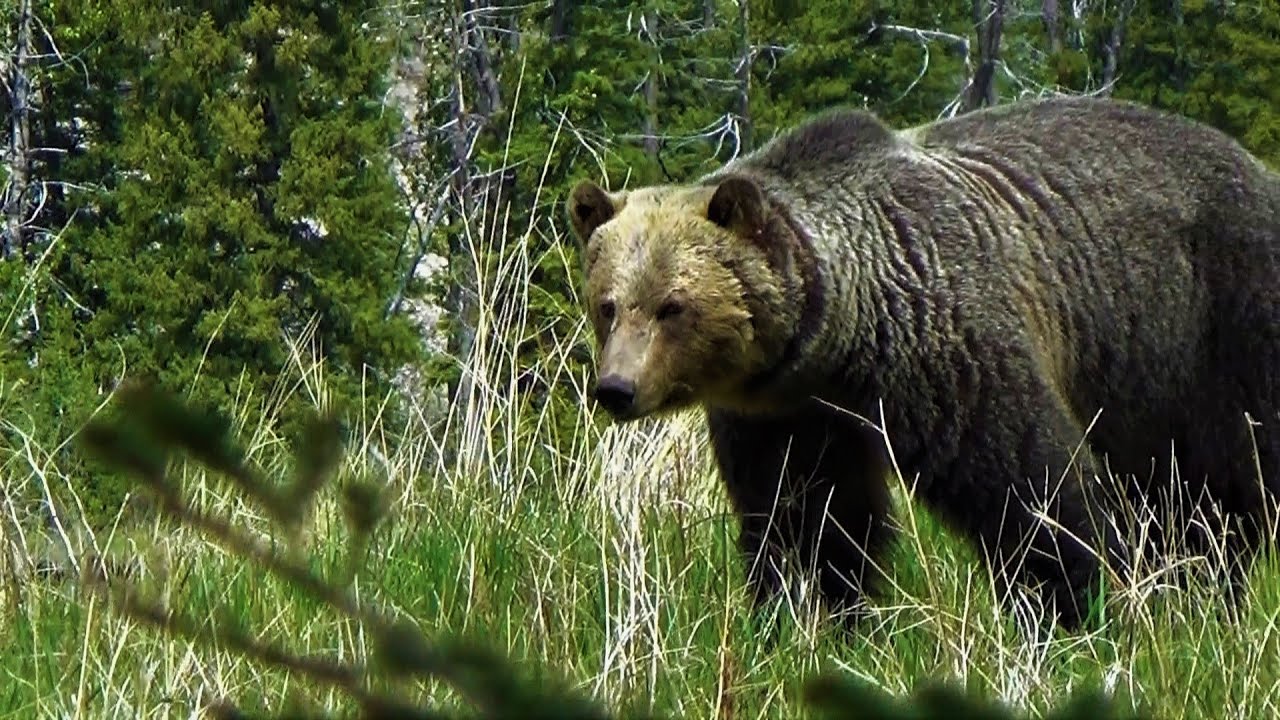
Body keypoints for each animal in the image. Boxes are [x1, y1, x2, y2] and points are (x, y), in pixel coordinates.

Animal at [564, 95, 1280, 630]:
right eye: (608, 305)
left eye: (672, 306)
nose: (616, 388)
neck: (845, 337)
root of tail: (1257, 168)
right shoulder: (784, 413)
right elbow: (808, 517)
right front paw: (806, 612)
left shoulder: (945, 344)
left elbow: (1028, 484)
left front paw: (1072, 603)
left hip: (1215, 320)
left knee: (1225, 480)